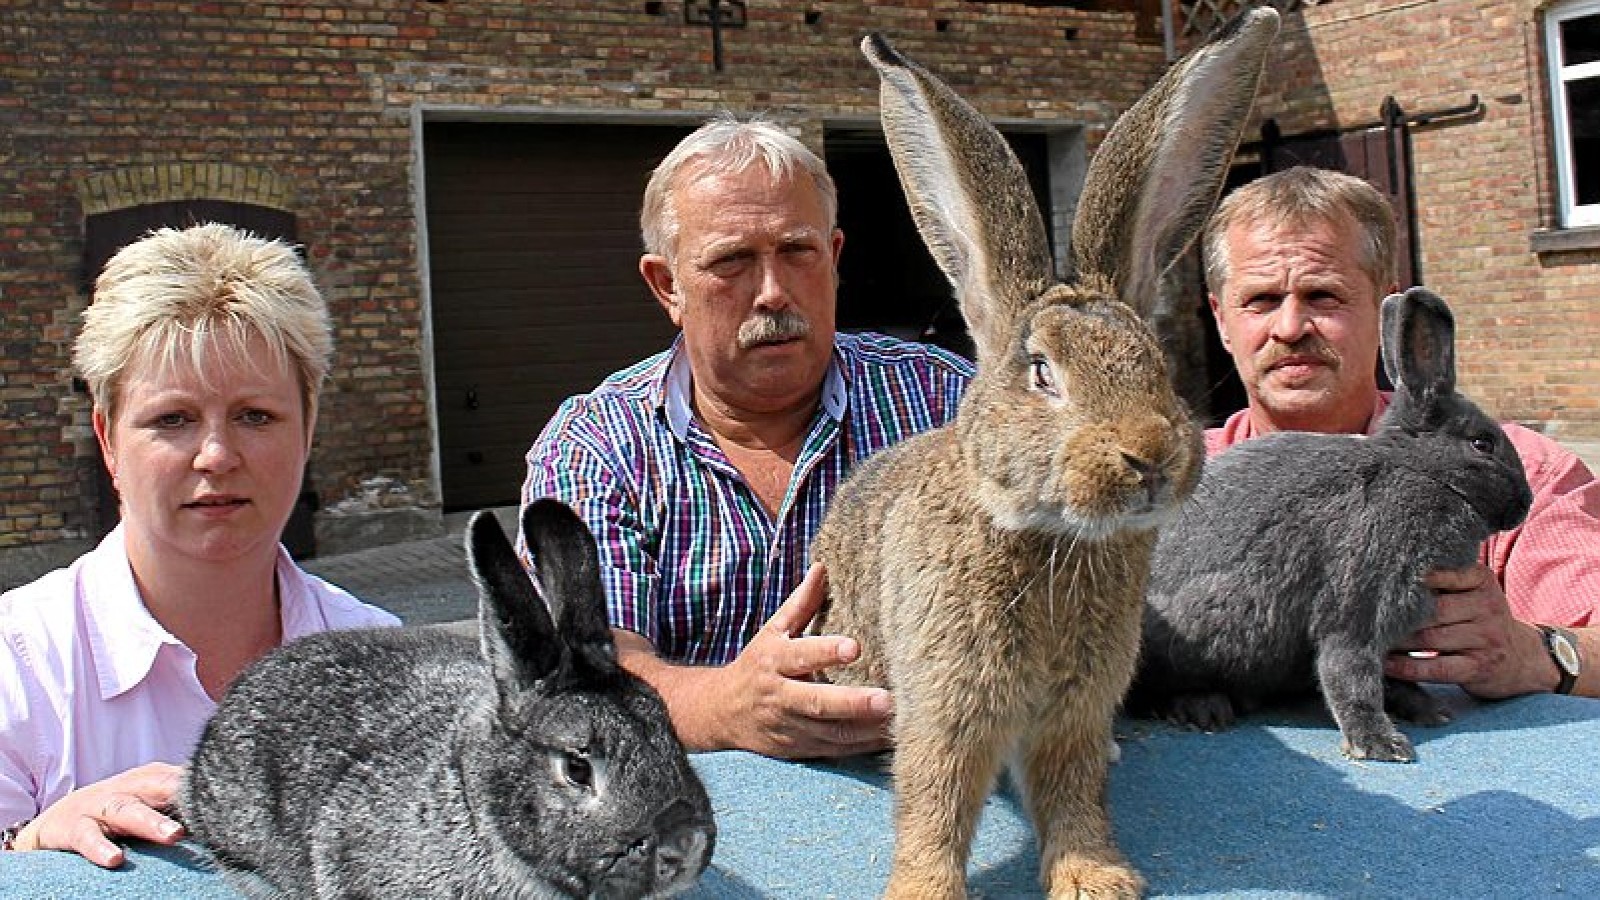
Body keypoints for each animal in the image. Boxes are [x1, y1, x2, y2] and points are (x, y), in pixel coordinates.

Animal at [809, 10, 1279, 899]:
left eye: (1155, 363)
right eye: (1040, 373)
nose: (1148, 456)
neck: (1052, 536)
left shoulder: (1076, 712)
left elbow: (1072, 791)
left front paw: (1097, 879)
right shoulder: (947, 704)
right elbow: (936, 800)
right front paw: (924, 889)